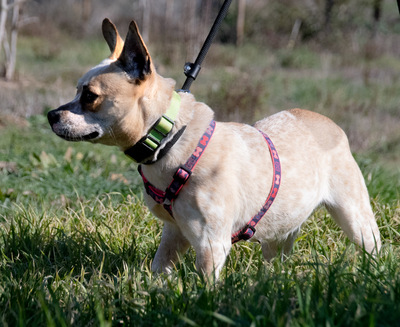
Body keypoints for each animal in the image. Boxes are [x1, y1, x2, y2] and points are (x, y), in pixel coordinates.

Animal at [47, 18, 382, 280]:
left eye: (90, 96)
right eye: (77, 91)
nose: (51, 115)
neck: (171, 138)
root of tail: (329, 123)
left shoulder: (211, 243)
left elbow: (205, 282)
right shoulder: (174, 234)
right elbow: (159, 267)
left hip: (354, 216)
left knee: (370, 244)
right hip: (281, 231)